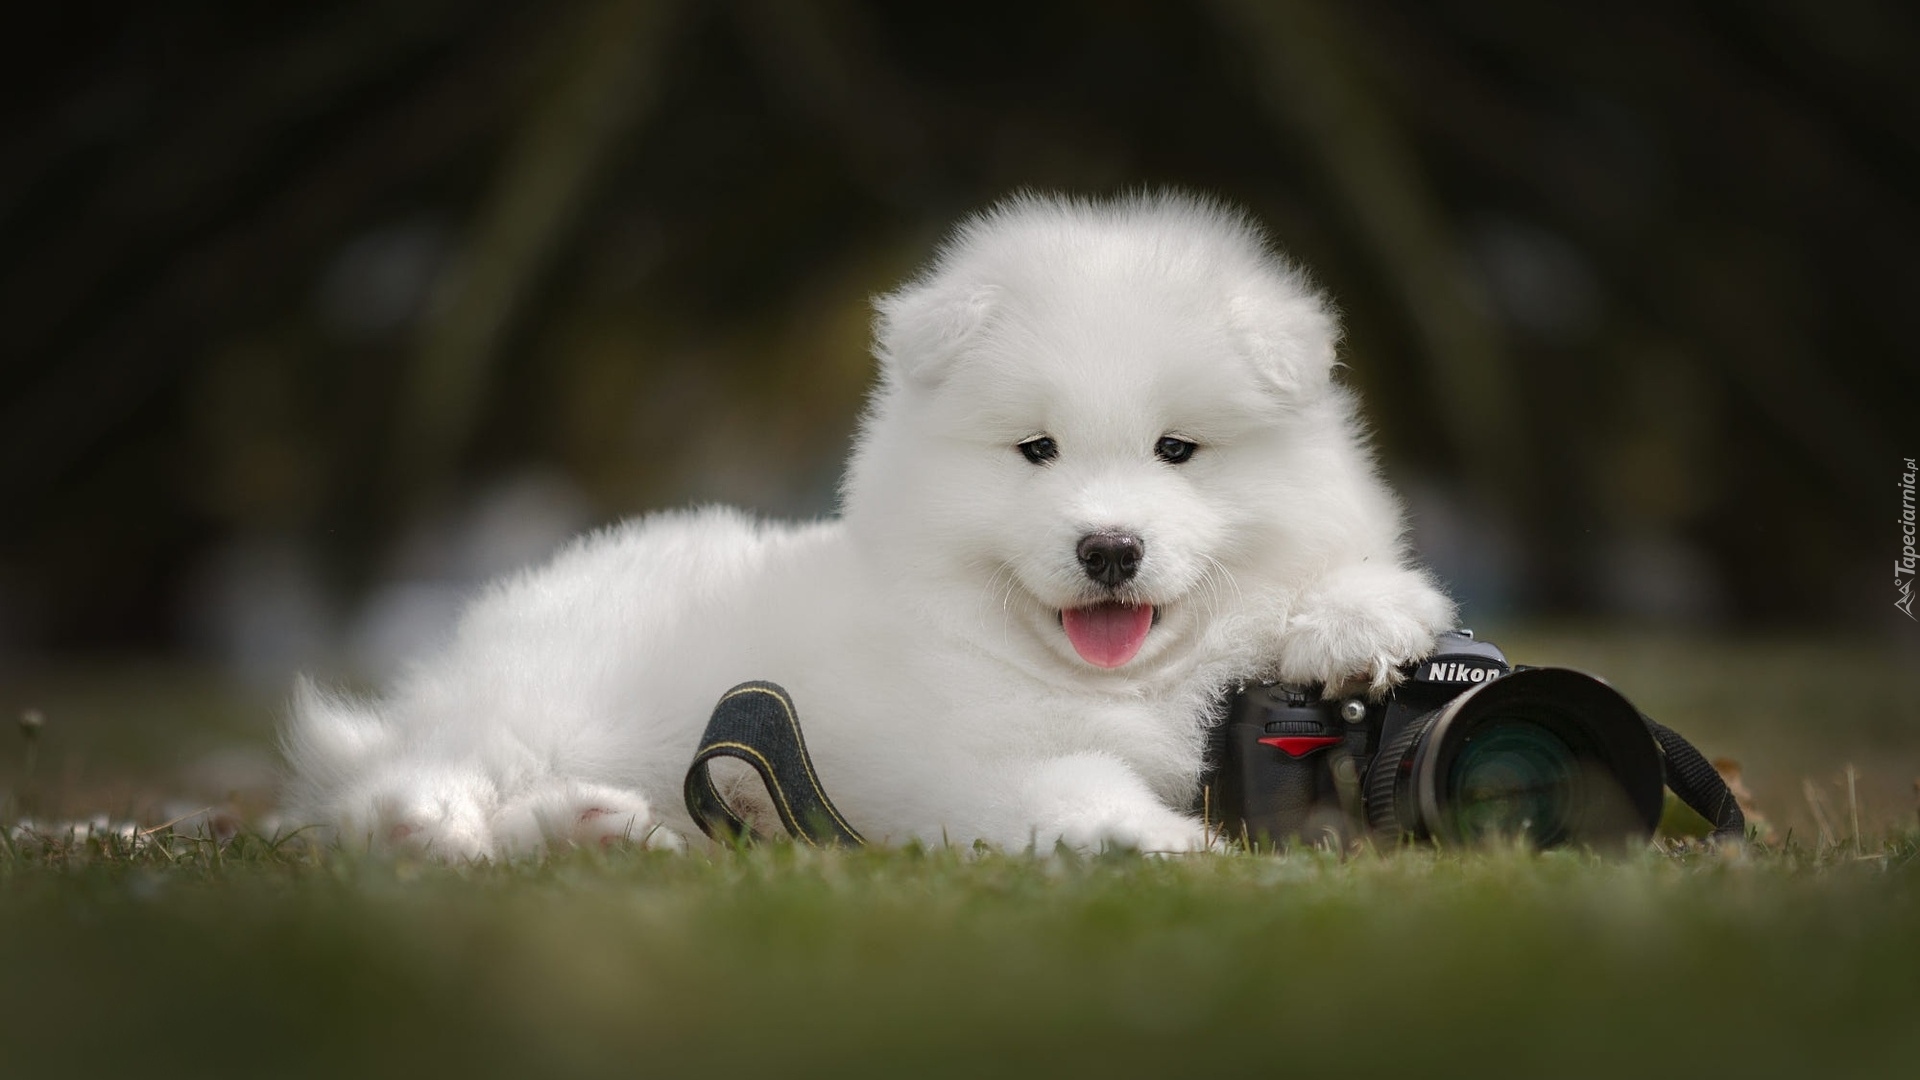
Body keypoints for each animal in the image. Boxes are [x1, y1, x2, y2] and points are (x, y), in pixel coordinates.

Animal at [280, 189, 1451, 853]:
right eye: (1037, 451)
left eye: (1177, 451)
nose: (1110, 549)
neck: (1108, 680)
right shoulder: (952, 759)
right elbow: (1067, 785)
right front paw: (1166, 844)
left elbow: (1327, 581)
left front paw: (1361, 621)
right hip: (551, 698)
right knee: (413, 780)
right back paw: (436, 823)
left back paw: (601, 832)